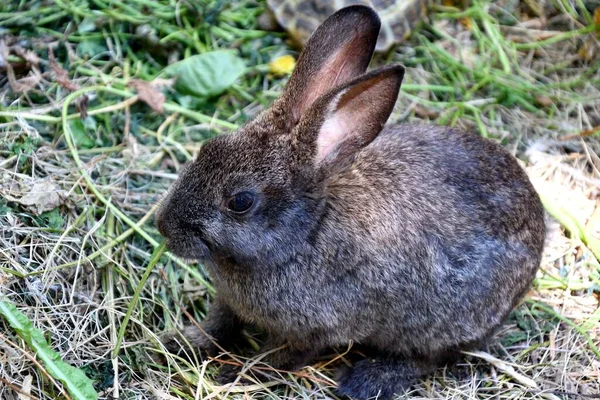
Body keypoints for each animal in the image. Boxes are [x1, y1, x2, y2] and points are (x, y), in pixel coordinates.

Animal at [156, 4, 548, 398]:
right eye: (207, 148)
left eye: (240, 201)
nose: (163, 226)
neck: (302, 234)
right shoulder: (229, 303)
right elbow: (219, 325)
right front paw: (180, 341)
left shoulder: (315, 330)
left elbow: (279, 358)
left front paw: (236, 376)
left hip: (444, 322)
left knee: (430, 357)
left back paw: (366, 380)